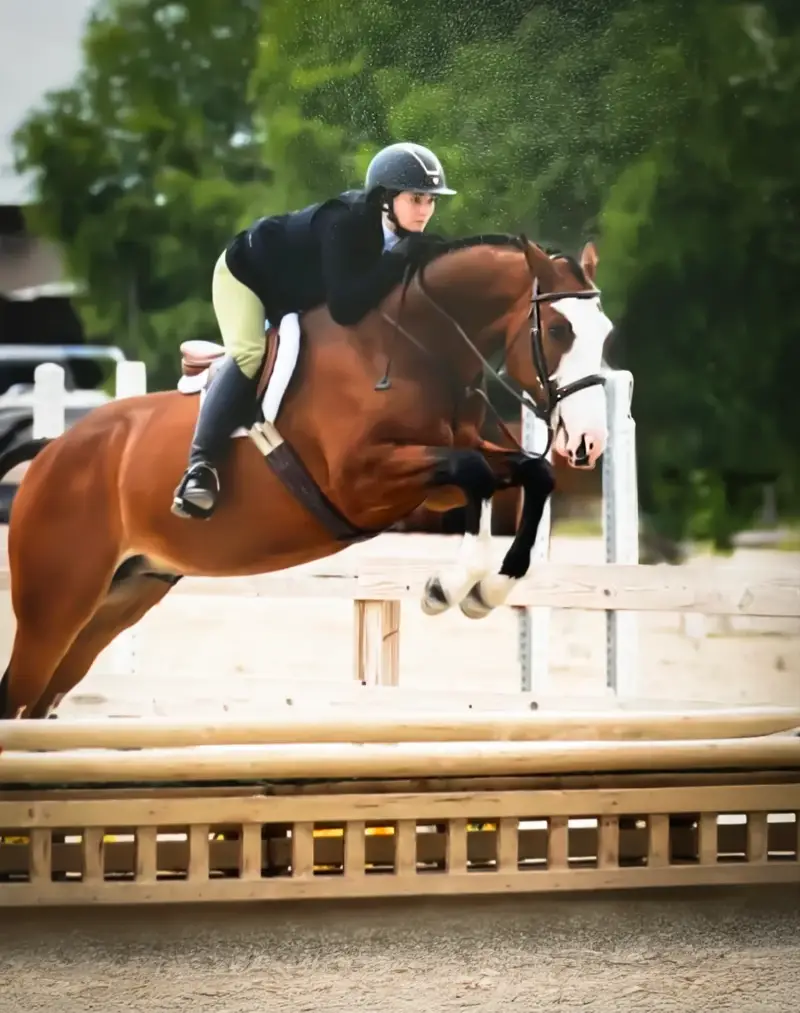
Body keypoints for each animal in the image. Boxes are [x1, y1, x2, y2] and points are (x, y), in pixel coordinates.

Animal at [0, 234, 614, 719]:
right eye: (557, 329)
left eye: (604, 333)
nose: (589, 442)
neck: (414, 351)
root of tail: (53, 451)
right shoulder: (362, 481)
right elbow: (475, 474)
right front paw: (447, 587)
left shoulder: (435, 485)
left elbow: (530, 473)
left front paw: (490, 588)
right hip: (57, 603)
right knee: (19, 693)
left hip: (120, 598)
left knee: (42, 698)